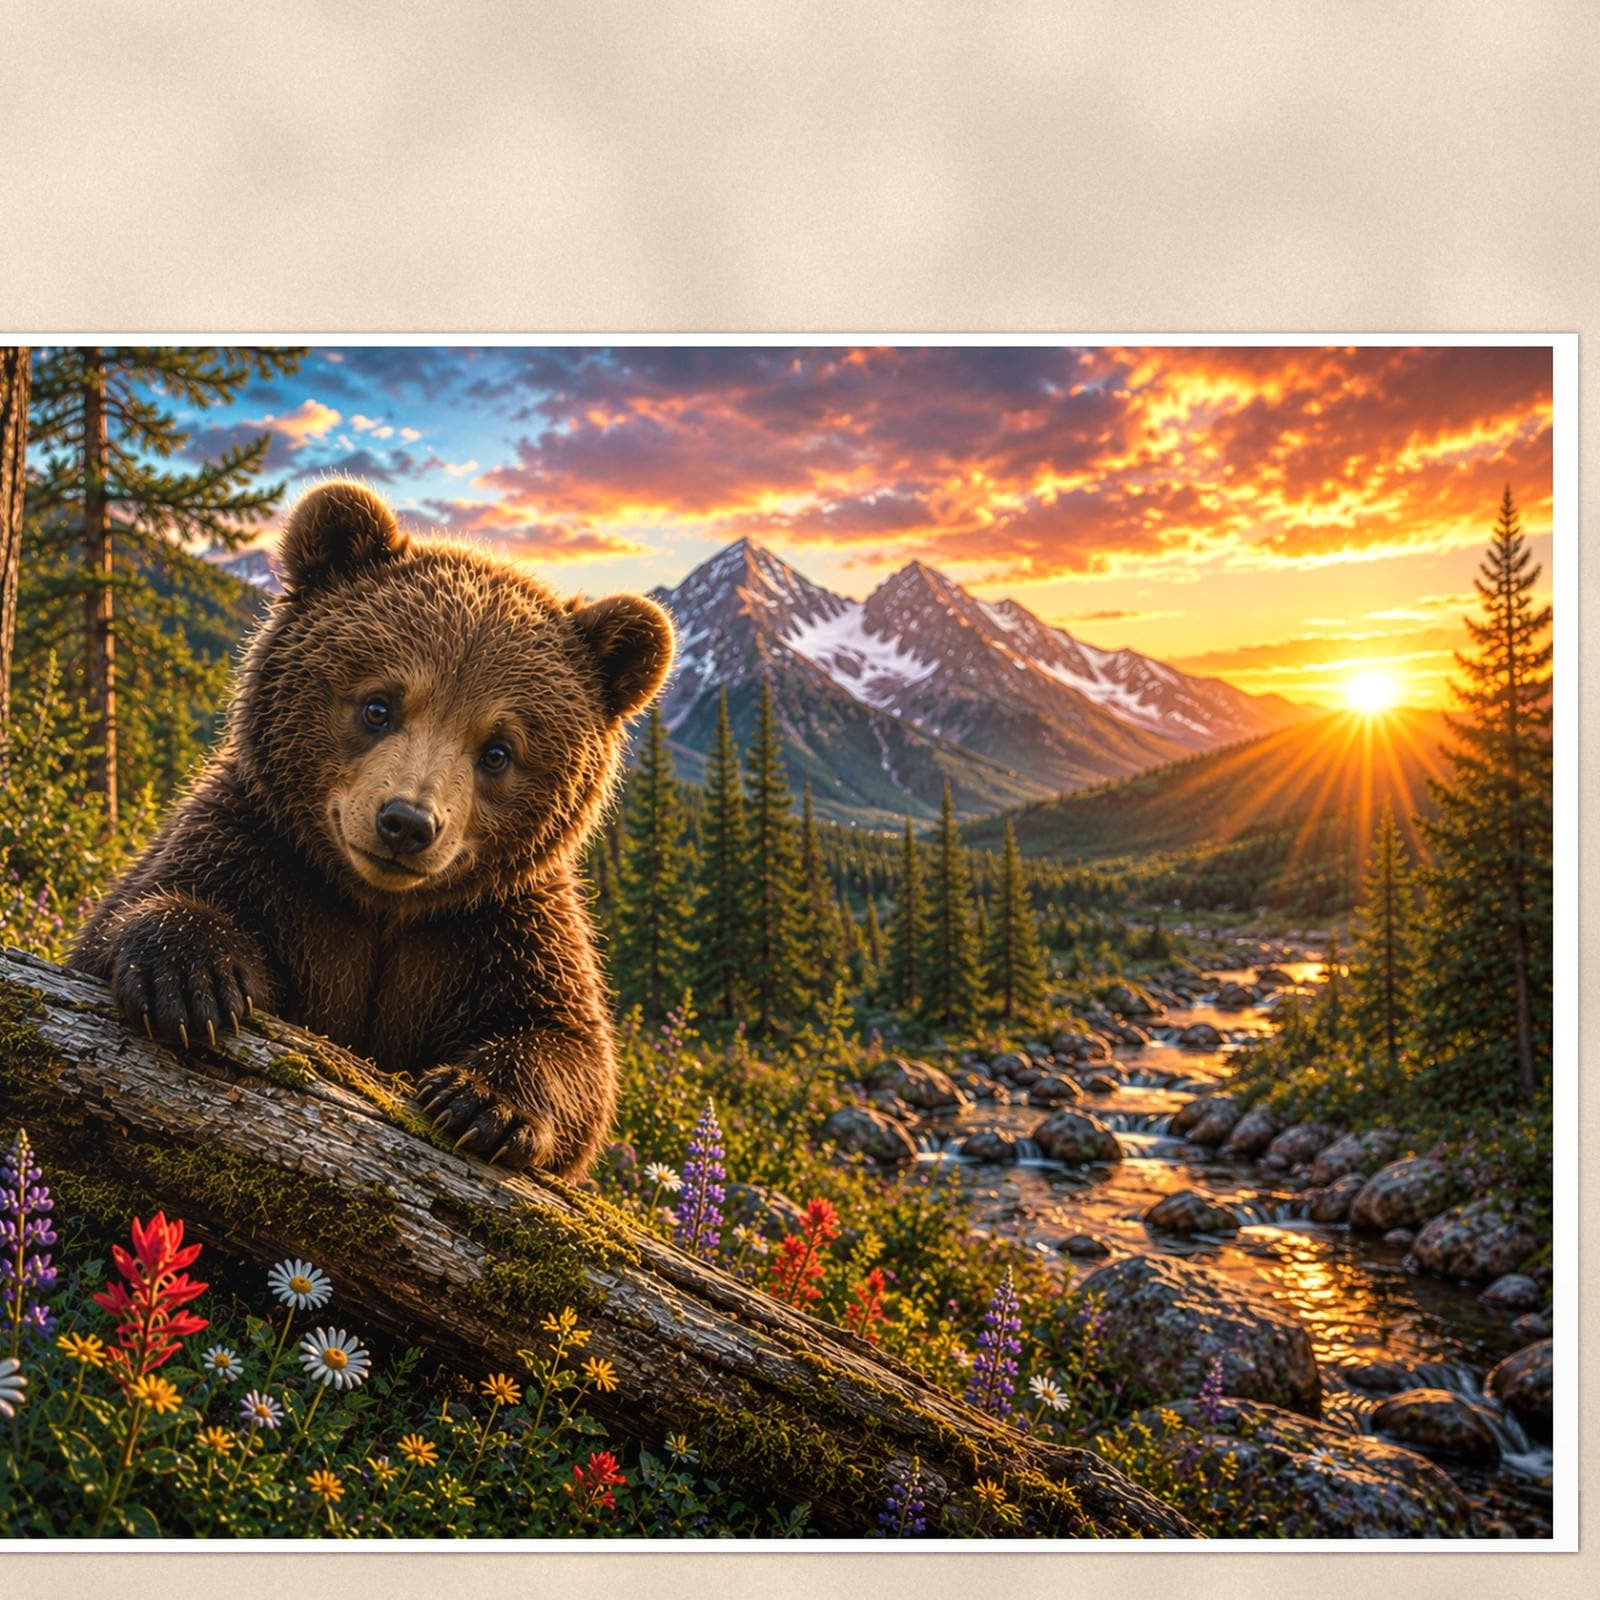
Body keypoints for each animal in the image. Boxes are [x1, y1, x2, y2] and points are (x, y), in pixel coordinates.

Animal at [70, 479, 674, 1179]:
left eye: (498, 750)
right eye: (379, 705)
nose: (407, 823)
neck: (381, 905)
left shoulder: (496, 927)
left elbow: (569, 1043)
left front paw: (483, 1101)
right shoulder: (261, 852)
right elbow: (142, 909)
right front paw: (193, 981)